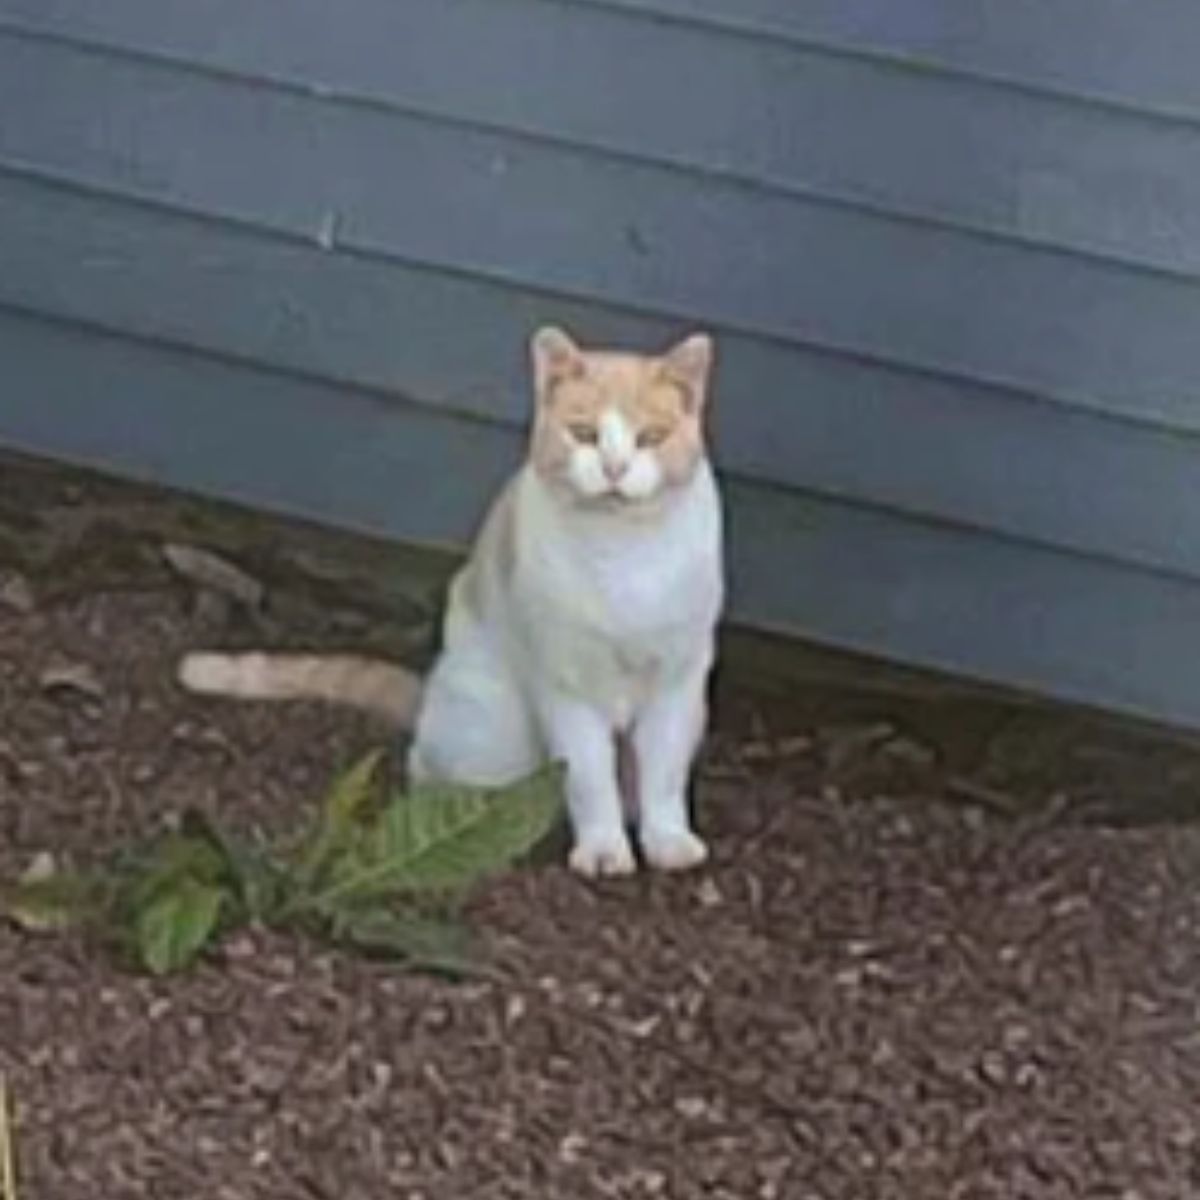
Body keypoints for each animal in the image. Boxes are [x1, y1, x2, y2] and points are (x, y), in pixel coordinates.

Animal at [177, 324, 720, 878]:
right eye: (584, 433)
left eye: (650, 437)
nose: (614, 467)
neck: (623, 554)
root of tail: (430, 692)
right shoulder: (564, 684)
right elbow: (589, 778)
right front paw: (604, 849)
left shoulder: (677, 684)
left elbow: (663, 777)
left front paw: (668, 841)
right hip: (496, 737)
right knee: (429, 763)